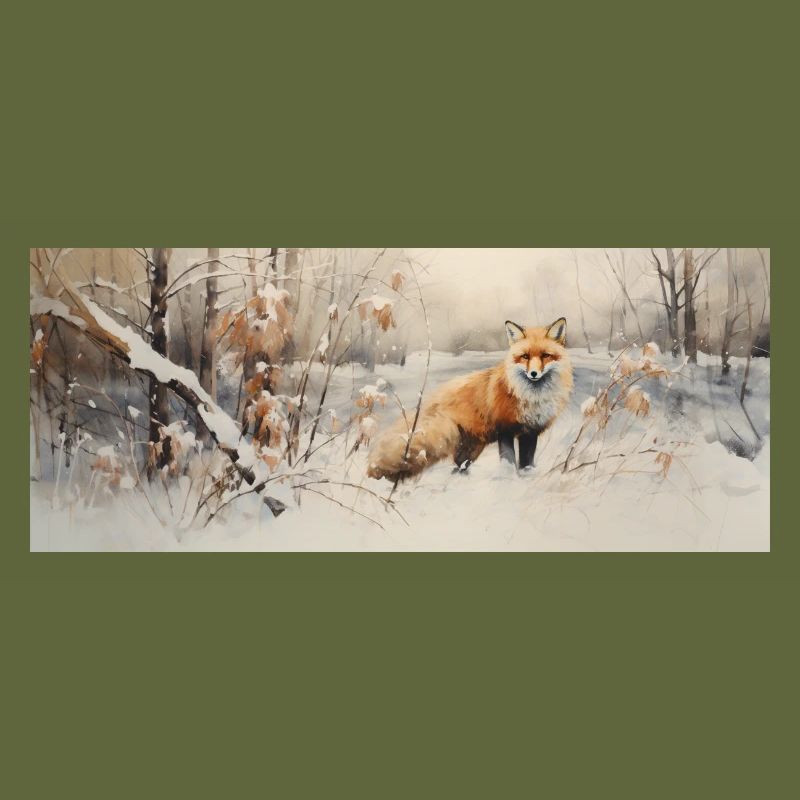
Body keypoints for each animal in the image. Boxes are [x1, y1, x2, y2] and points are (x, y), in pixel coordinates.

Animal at [367, 317, 573, 481]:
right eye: (525, 356)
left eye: (546, 356)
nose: (533, 374)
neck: (531, 398)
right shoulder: (505, 429)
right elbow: (508, 461)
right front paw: (508, 479)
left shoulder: (530, 432)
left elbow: (527, 462)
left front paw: (526, 476)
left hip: (471, 448)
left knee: (459, 466)